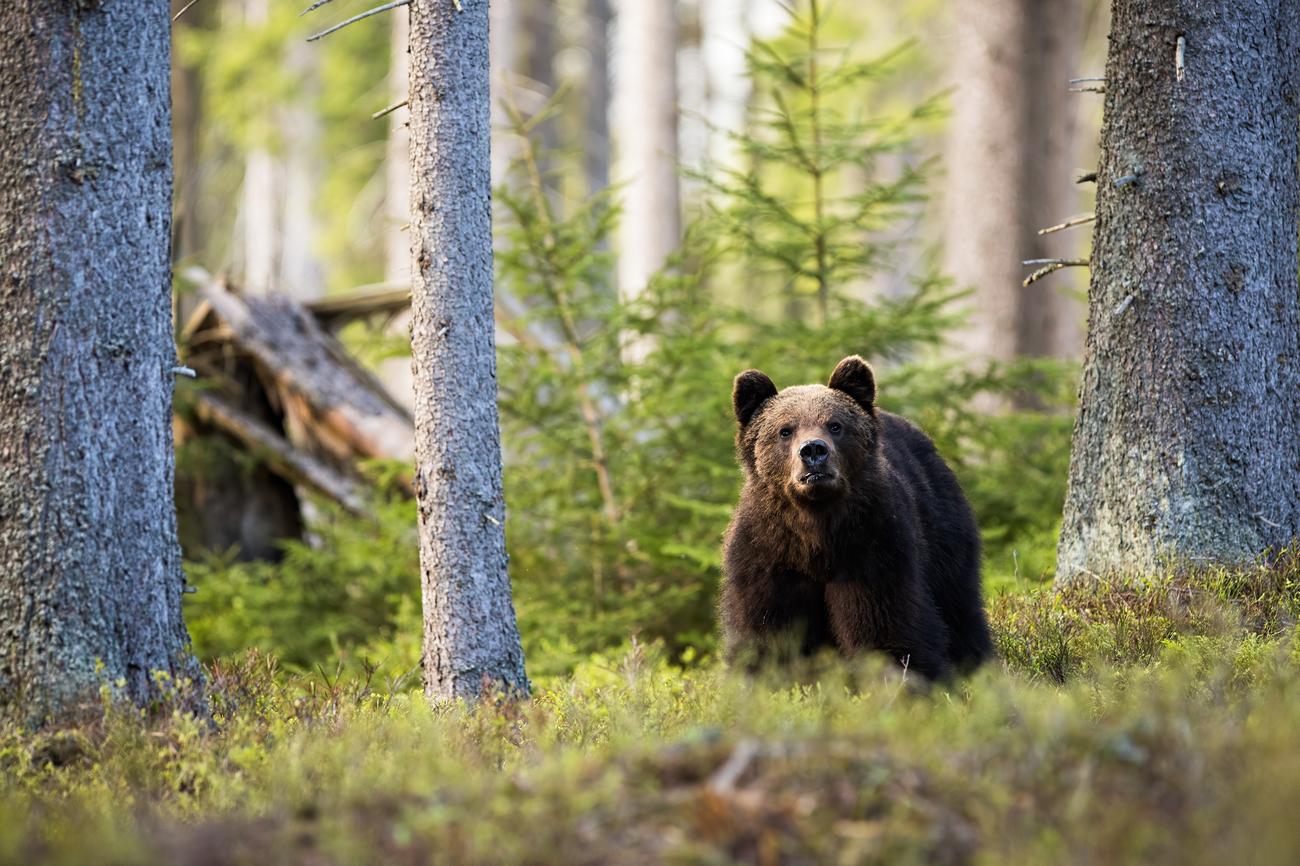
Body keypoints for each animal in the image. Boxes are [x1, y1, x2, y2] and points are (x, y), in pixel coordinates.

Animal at [728, 353, 987, 676]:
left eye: (835, 425)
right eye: (785, 430)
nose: (813, 450)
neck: (815, 533)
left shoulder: (871, 548)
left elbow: (885, 625)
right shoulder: (767, 555)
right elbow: (765, 632)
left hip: (944, 532)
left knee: (960, 608)